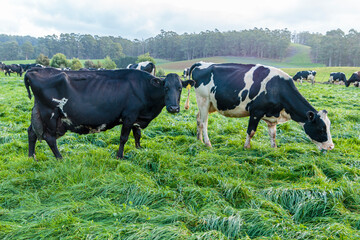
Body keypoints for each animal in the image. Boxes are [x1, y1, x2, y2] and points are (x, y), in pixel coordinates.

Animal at [24, 67, 194, 159]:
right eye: (166, 88)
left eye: (180, 88)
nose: (174, 108)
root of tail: (34, 70)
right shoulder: (129, 116)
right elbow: (124, 138)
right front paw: (120, 156)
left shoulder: (137, 117)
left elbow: (137, 134)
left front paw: (139, 149)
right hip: (50, 114)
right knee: (49, 138)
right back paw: (60, 158)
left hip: (39, 113)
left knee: (31, 132)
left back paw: (31, 156)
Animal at [187, 62, 334, 151]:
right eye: (321, 128)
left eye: (328, 126)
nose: (331, 147)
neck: (277, 88)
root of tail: (202, 63)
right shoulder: (256, 112)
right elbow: (251, 131)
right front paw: (246, 147)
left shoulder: (272, 117)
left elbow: (273, 134)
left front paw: (274, 149)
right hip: (203, 100)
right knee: (204, 122)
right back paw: (207, 143)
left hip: (211, 104)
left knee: (198, 118)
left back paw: (199, 139)